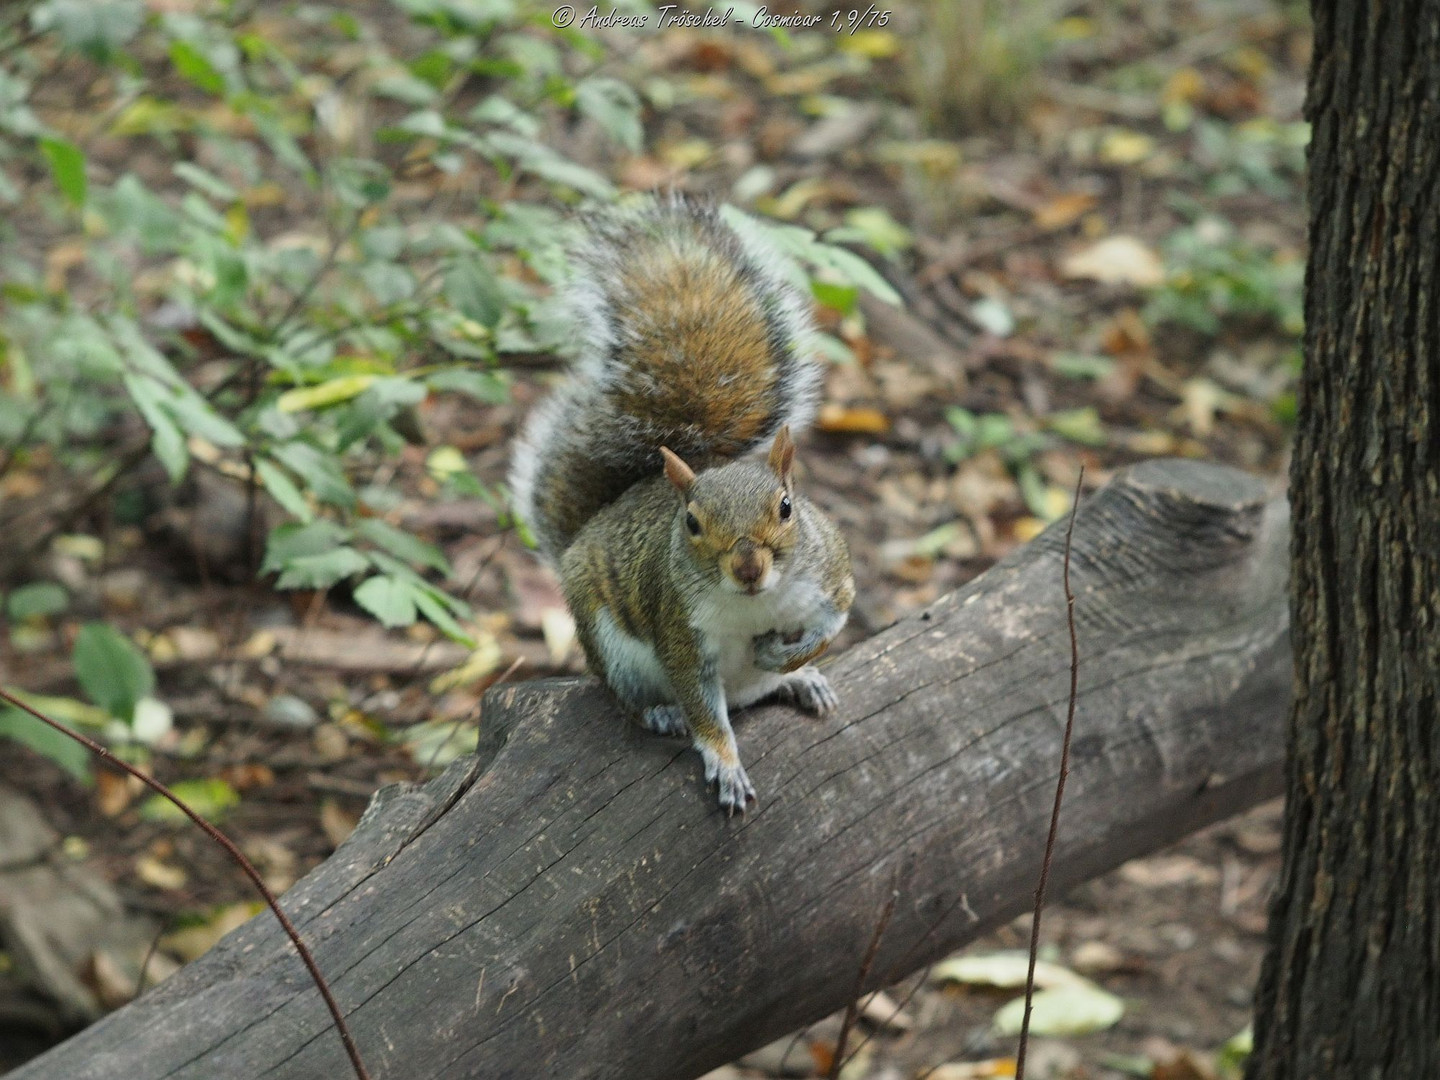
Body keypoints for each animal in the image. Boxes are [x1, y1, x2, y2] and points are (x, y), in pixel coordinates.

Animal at [512, 198, 852, 817]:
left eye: (787, 508)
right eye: (691, 524)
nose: (747, 568)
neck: (754, 606)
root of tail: (588, 530)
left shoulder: (833, 576)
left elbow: (832, 623)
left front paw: (790, 658)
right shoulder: (680, 635)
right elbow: (703, 708)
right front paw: (725, 763)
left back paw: (800, 680)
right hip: (612, 648)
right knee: (632, 700)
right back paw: (661, 712)